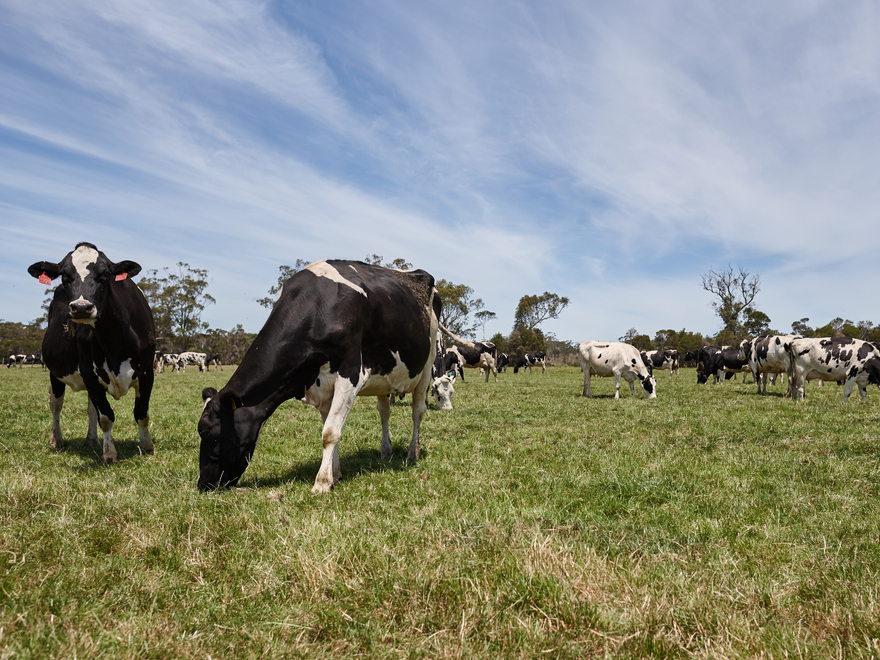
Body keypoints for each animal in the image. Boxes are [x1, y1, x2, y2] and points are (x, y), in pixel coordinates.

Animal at [27, 242, 156, 463]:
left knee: (89, 409)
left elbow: (141, 413)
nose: (81, 308)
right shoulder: (90, 374)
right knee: (56, 404)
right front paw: (110, 454)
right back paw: (56, 440)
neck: (115, 340)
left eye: (104, 274)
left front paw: (147, 447)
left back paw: (92, 440)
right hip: (55, 372)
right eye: (64, 275)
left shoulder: (147, 371)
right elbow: (105, 416)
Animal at [197, 260, 470, 494]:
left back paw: (413, 453)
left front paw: (322, 482)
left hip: (427, 364)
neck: (317, 307)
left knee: (417, 412)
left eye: (208, 432)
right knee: (384, 413)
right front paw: (335, 474)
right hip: (385, 373)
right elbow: (330, 429)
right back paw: (385, 451)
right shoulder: (321, 386)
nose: (203, 484)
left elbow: (330, 433)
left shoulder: (350, 374)